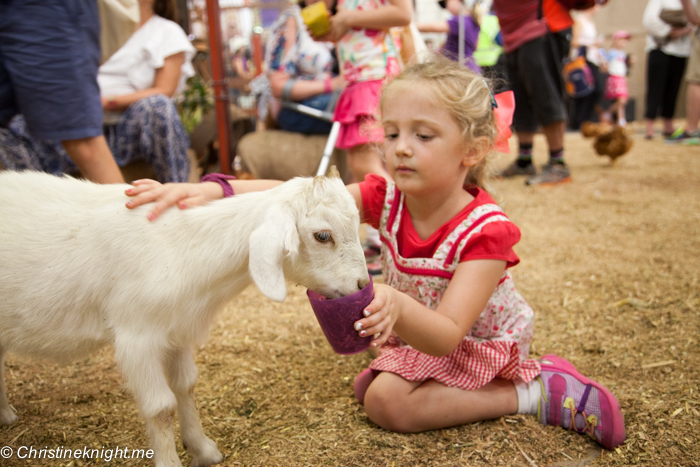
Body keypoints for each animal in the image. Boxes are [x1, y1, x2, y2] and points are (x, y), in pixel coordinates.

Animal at [0, 171, 370, 467]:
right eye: (322, 235)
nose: (362, 284)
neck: (183, 248)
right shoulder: (137, 337)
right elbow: (161, 408)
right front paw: (171, 460)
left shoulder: (176, 330)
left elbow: (186, 386)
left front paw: (202, 449)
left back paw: (4, 413)